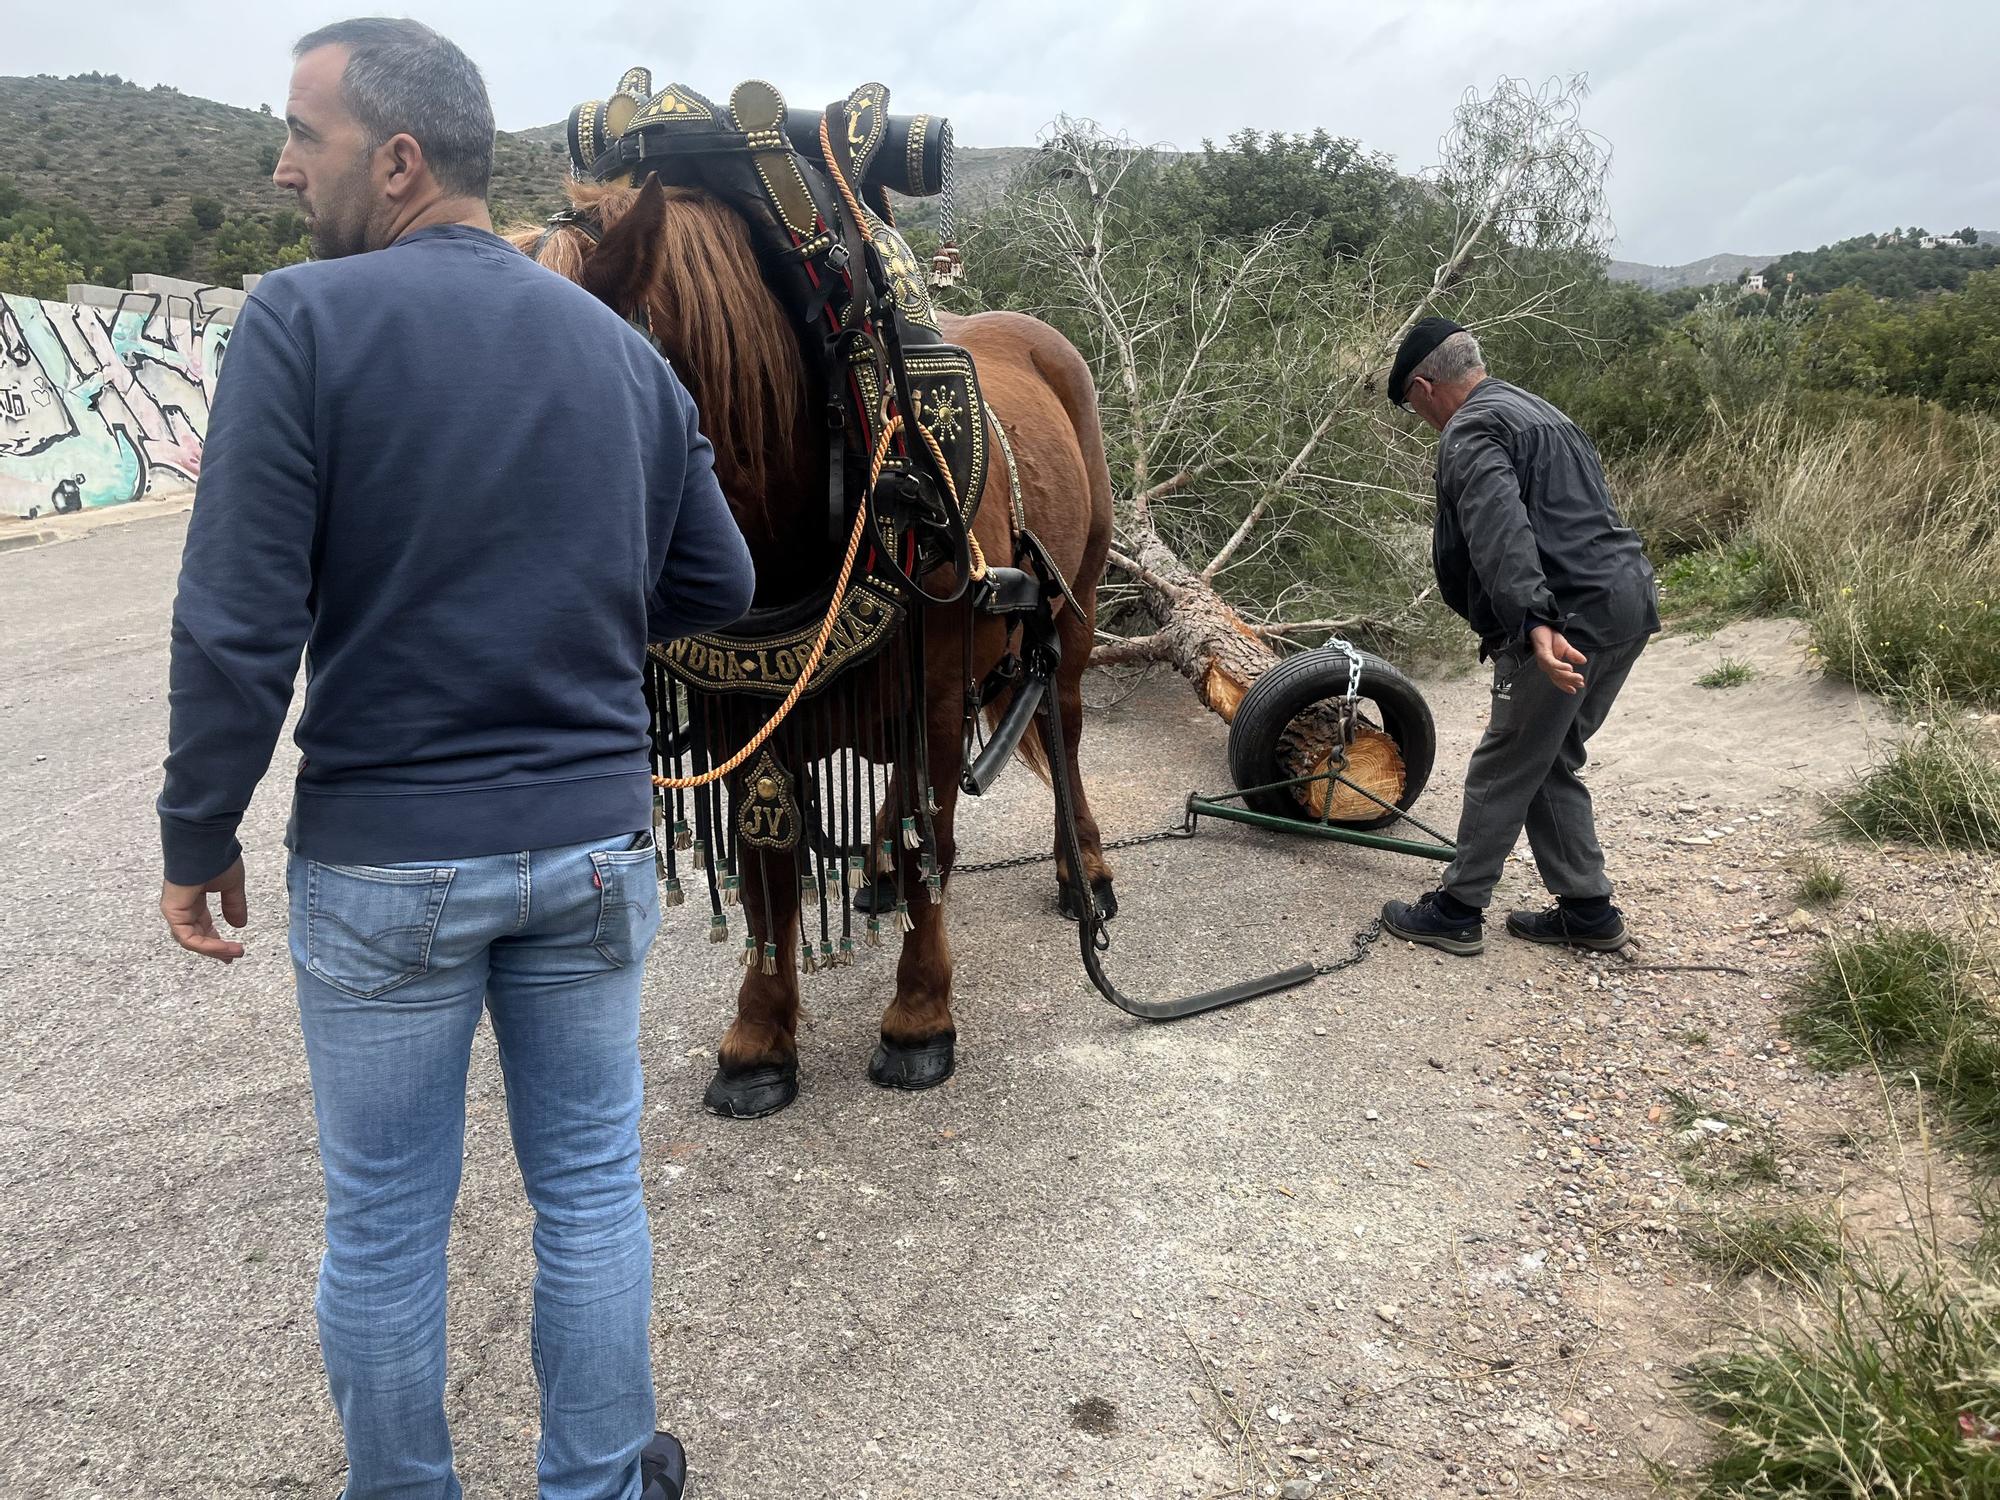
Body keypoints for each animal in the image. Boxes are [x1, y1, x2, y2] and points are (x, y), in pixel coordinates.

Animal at [508, 179, 1120, 1120]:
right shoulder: (743, 710)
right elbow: (769, 873)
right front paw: (759, 1037)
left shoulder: (933, 692)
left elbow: (935, 847)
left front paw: (919, 1017)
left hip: (1078, 601)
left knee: (1066, 727)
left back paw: (1082, 867)